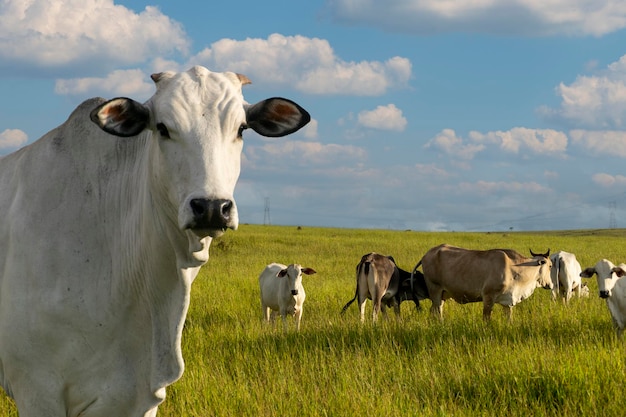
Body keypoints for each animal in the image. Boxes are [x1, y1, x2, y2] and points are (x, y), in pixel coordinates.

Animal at [414, 244, 552, 322]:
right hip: (435, 291)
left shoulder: (507, 302)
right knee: (436, 311)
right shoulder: (488, 297)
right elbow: (486, 319)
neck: (514, 268)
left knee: (434, 310)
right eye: (550, 265)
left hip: (442, 294)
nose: (550, 285)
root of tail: (427, 254)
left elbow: (509, 319)